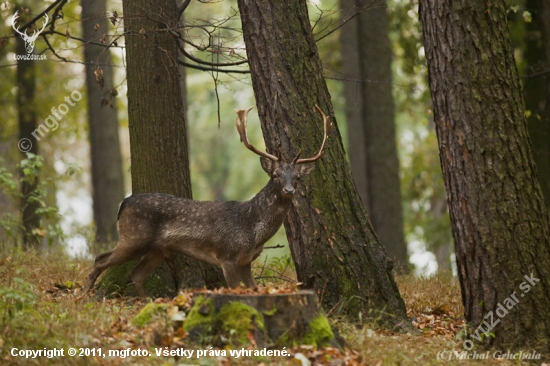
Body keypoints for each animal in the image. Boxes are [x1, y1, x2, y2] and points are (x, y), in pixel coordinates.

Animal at [82, 105, 332, 298]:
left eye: (297, 177)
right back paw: (83, 296)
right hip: (134, 237)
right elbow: (236, 290)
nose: (289, 190)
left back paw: (146, 303)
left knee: (135, 274)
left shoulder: (246, 260)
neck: (251, 229)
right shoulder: (226, 255)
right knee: (100, 259)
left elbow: (254, 289)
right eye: (276, 175)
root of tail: (123, 203)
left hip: (156, 249)